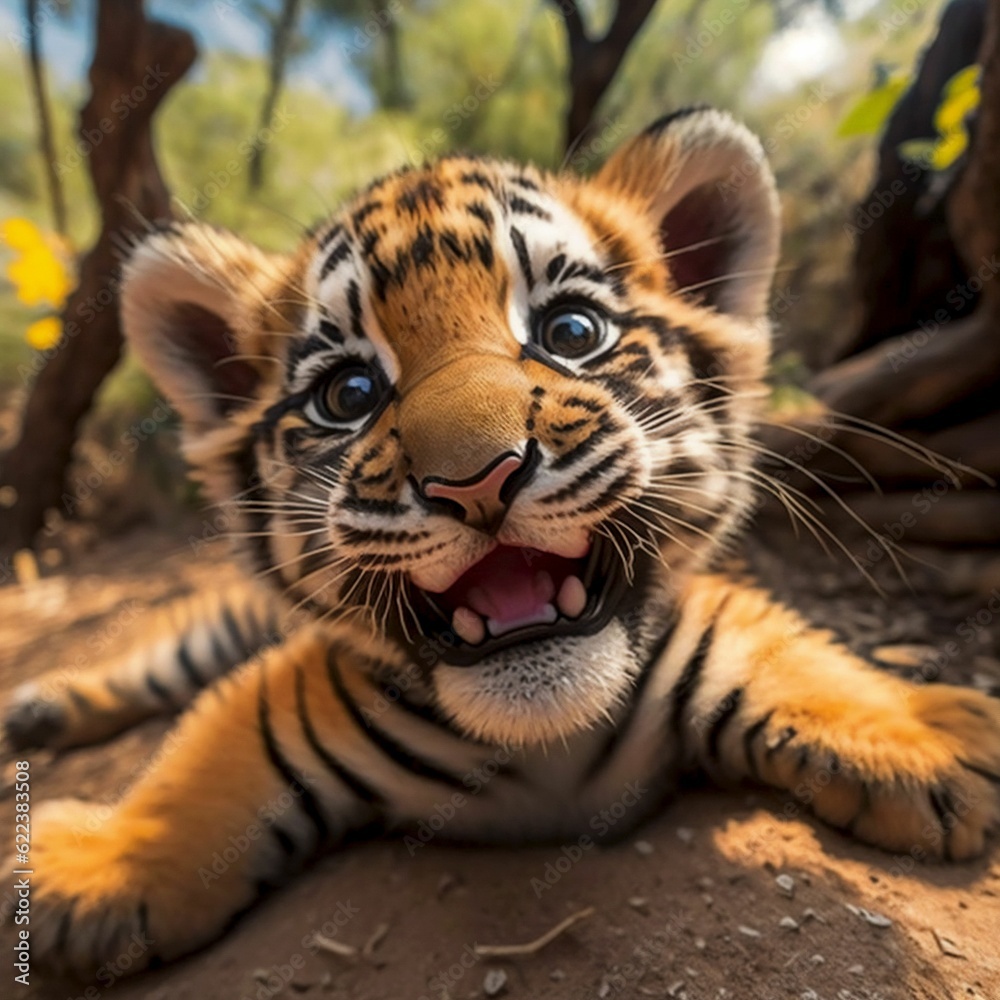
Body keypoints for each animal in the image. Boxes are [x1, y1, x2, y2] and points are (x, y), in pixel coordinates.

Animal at [3, 107, 999, 978]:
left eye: (571, 333)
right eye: (348, 394)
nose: (476, 479)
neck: (546, 757)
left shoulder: (708, 617)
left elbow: (788, 651)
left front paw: (927, 733)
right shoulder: (290, 687)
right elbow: (202, 765)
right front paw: (90, 867)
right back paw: (40, 706)